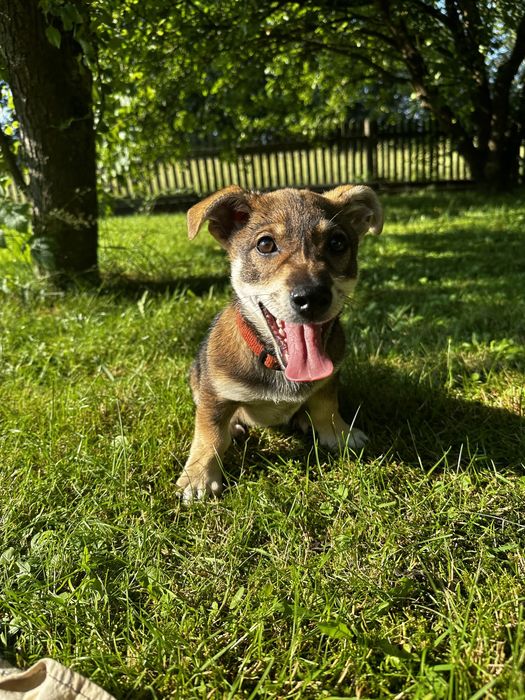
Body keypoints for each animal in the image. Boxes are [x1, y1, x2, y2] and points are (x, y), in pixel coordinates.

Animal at [176, 183, 380, 500]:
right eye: (265, 244)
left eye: (337, 243)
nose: (312, 297)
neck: (275, 364)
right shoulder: (214, 393)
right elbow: (209, 433)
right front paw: (198, 476)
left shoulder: (330, 376)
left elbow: (327, 406)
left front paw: (339, 434)